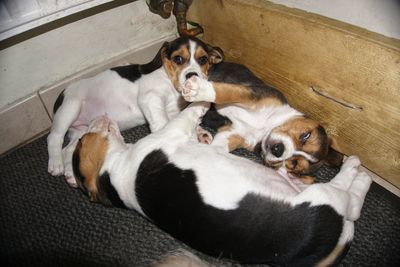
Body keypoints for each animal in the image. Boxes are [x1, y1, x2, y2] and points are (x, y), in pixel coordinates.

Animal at [46, 36, 223, 186]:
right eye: (178, 59)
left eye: (203, 59)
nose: (192, 75)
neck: (171, 83)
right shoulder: (150, 97)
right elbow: (163, 122)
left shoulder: (175, 111)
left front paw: (200, 132)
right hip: (70, 107)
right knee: (54, 137)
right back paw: (56, 164)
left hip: (80, 130)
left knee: (68, 149)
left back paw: (70, 173)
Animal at [72, 103, 372, 266]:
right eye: (82, 142)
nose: (94, 120)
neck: (115, 173)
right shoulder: (169, 133)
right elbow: (188, 112)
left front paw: (203, 132)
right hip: (325, 196)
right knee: (351, 201)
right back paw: (357, 170)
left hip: (302, 186)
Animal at [180, 62, 340, 184]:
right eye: (306, 135)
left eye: (293, 164)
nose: (278, 150)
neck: (263, 128)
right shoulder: (252, 95)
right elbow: (225, 93)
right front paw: (199, 90)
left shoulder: (231, 135)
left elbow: (217, 148)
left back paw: (202, 134)